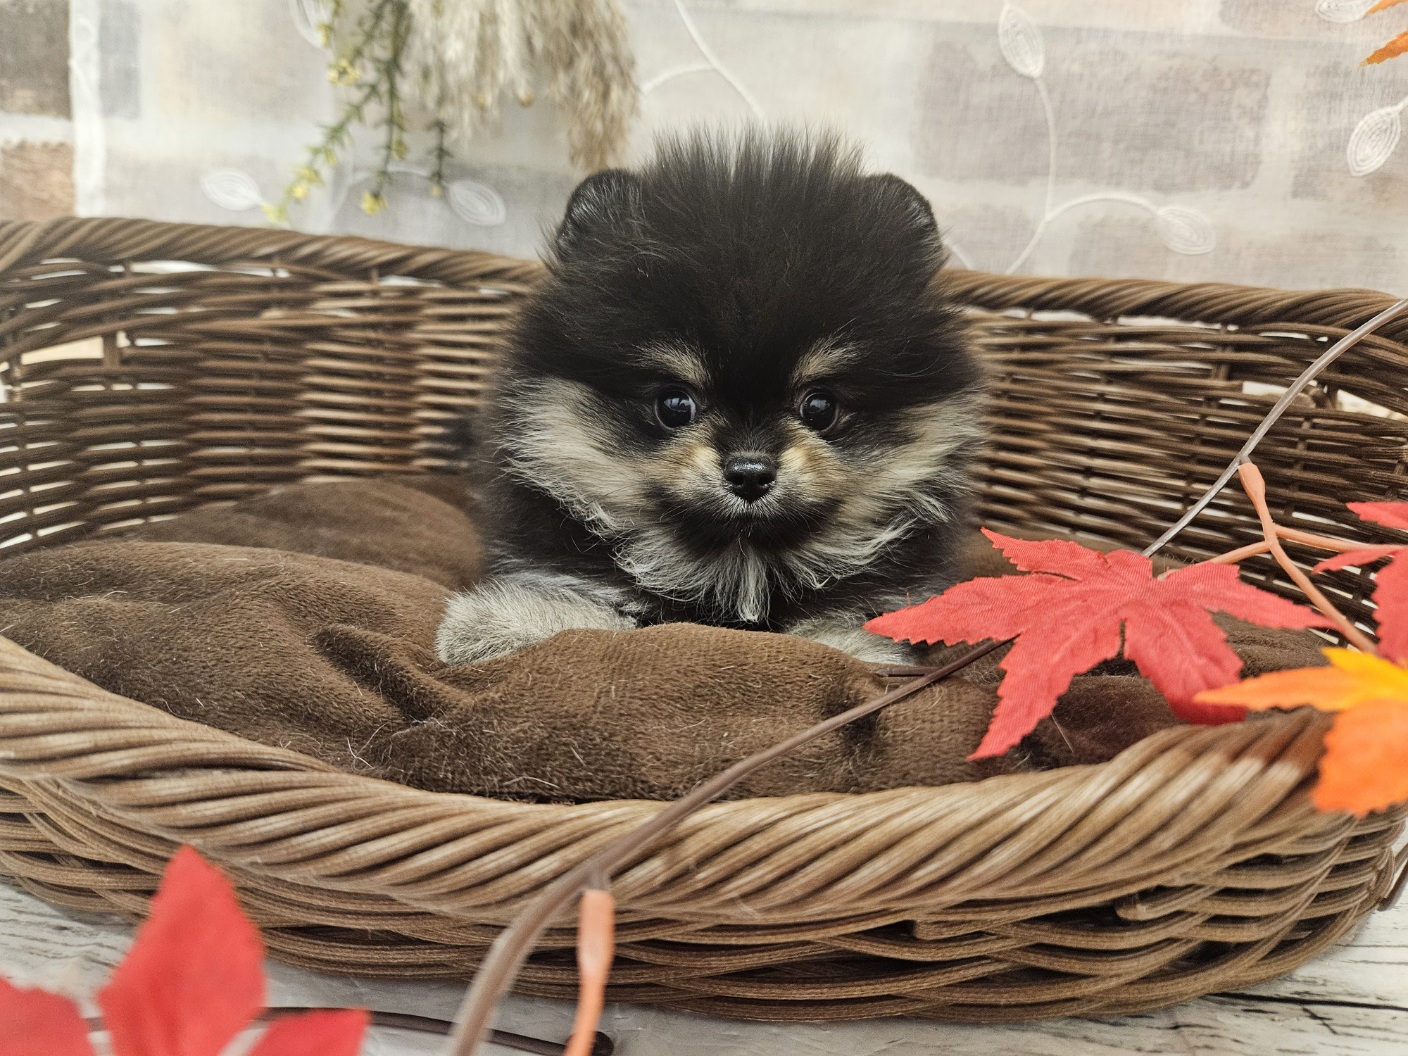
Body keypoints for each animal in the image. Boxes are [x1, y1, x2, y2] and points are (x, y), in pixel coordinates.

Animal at [433, 128, 985, 664]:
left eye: (820, 406)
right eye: (675, 404)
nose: (750, 472)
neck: (739, 566)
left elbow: (848, 640)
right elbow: (591, 615)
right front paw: (488, 629)